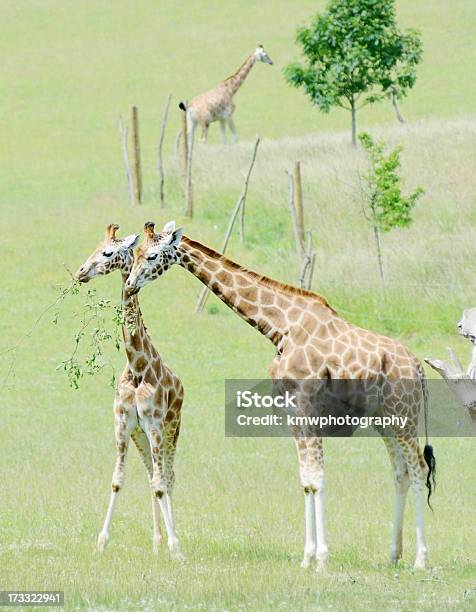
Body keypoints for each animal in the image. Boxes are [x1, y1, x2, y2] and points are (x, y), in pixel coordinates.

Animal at [76, 224, 184, 560]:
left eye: (108, 252)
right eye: (95, 246)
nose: (81, 272)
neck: (137, 366)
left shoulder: (155, 424)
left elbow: (162, 484)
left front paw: (177, 548)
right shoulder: (123, 424)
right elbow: (117, 481)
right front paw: (101, 541)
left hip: (171, 430)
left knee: (168, 478)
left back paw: (173, 541)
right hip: (142, 437)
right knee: (152, 476)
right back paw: (157, 542)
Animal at [125, 222, 436, 572]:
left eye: (152, 256)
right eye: (135, 253)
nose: (131, 284)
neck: (280, 327)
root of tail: (418, 367)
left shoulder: (307, 407)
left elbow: (318, 477)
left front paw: (322, 559)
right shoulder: (291, 412)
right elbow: (306, 479)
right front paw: (307, 558)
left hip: (404, 415)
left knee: (419, 469)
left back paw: (421, 559)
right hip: (386, 420)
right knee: (400, 472)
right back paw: (394, 555)